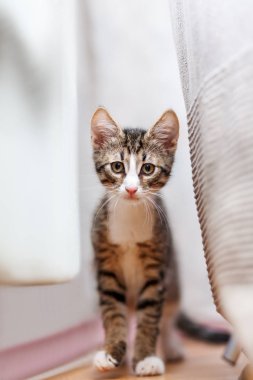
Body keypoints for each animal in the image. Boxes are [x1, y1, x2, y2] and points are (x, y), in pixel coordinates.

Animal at [90, 107, 183, 378]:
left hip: (173, 278)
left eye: (148, 168)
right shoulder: (105, 267)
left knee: (168, 316)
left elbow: (150, 318)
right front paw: (111, 351)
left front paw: (145, 358)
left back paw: (170, 346)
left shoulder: (157, 269)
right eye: (117, 166)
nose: (131, 189)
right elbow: (113, 312)